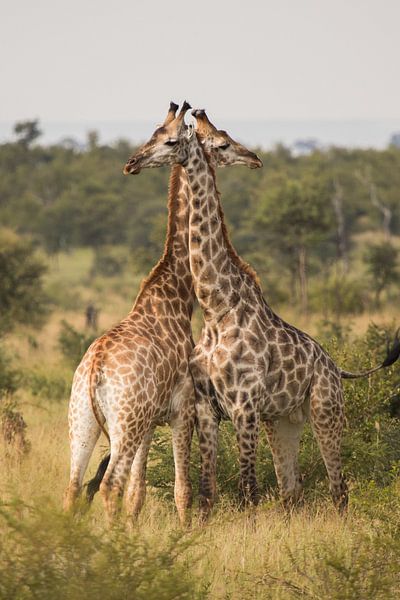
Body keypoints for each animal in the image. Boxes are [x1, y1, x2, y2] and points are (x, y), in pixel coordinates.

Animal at [63, 103, 260, 524]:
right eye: (222, 142)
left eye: (160, 135)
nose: (131, 163)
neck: (176, 295)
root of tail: (95, 371)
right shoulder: (181, 410)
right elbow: (181, 490)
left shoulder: (152, 420)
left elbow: (137, 495)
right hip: (126, 422)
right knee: (109, 486)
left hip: (83, 422)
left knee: (73, 489)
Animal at [122, 108, 400, 520]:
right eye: (154, 135)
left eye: (171, 140)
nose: (131, 163)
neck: (216, 308)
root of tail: (336, 367)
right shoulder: (208, 407)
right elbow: (208, 492)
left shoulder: (244, 406)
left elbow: (248, 491)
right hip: (283, 421)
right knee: (291, 490)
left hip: (326, 411)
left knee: (339, 488)